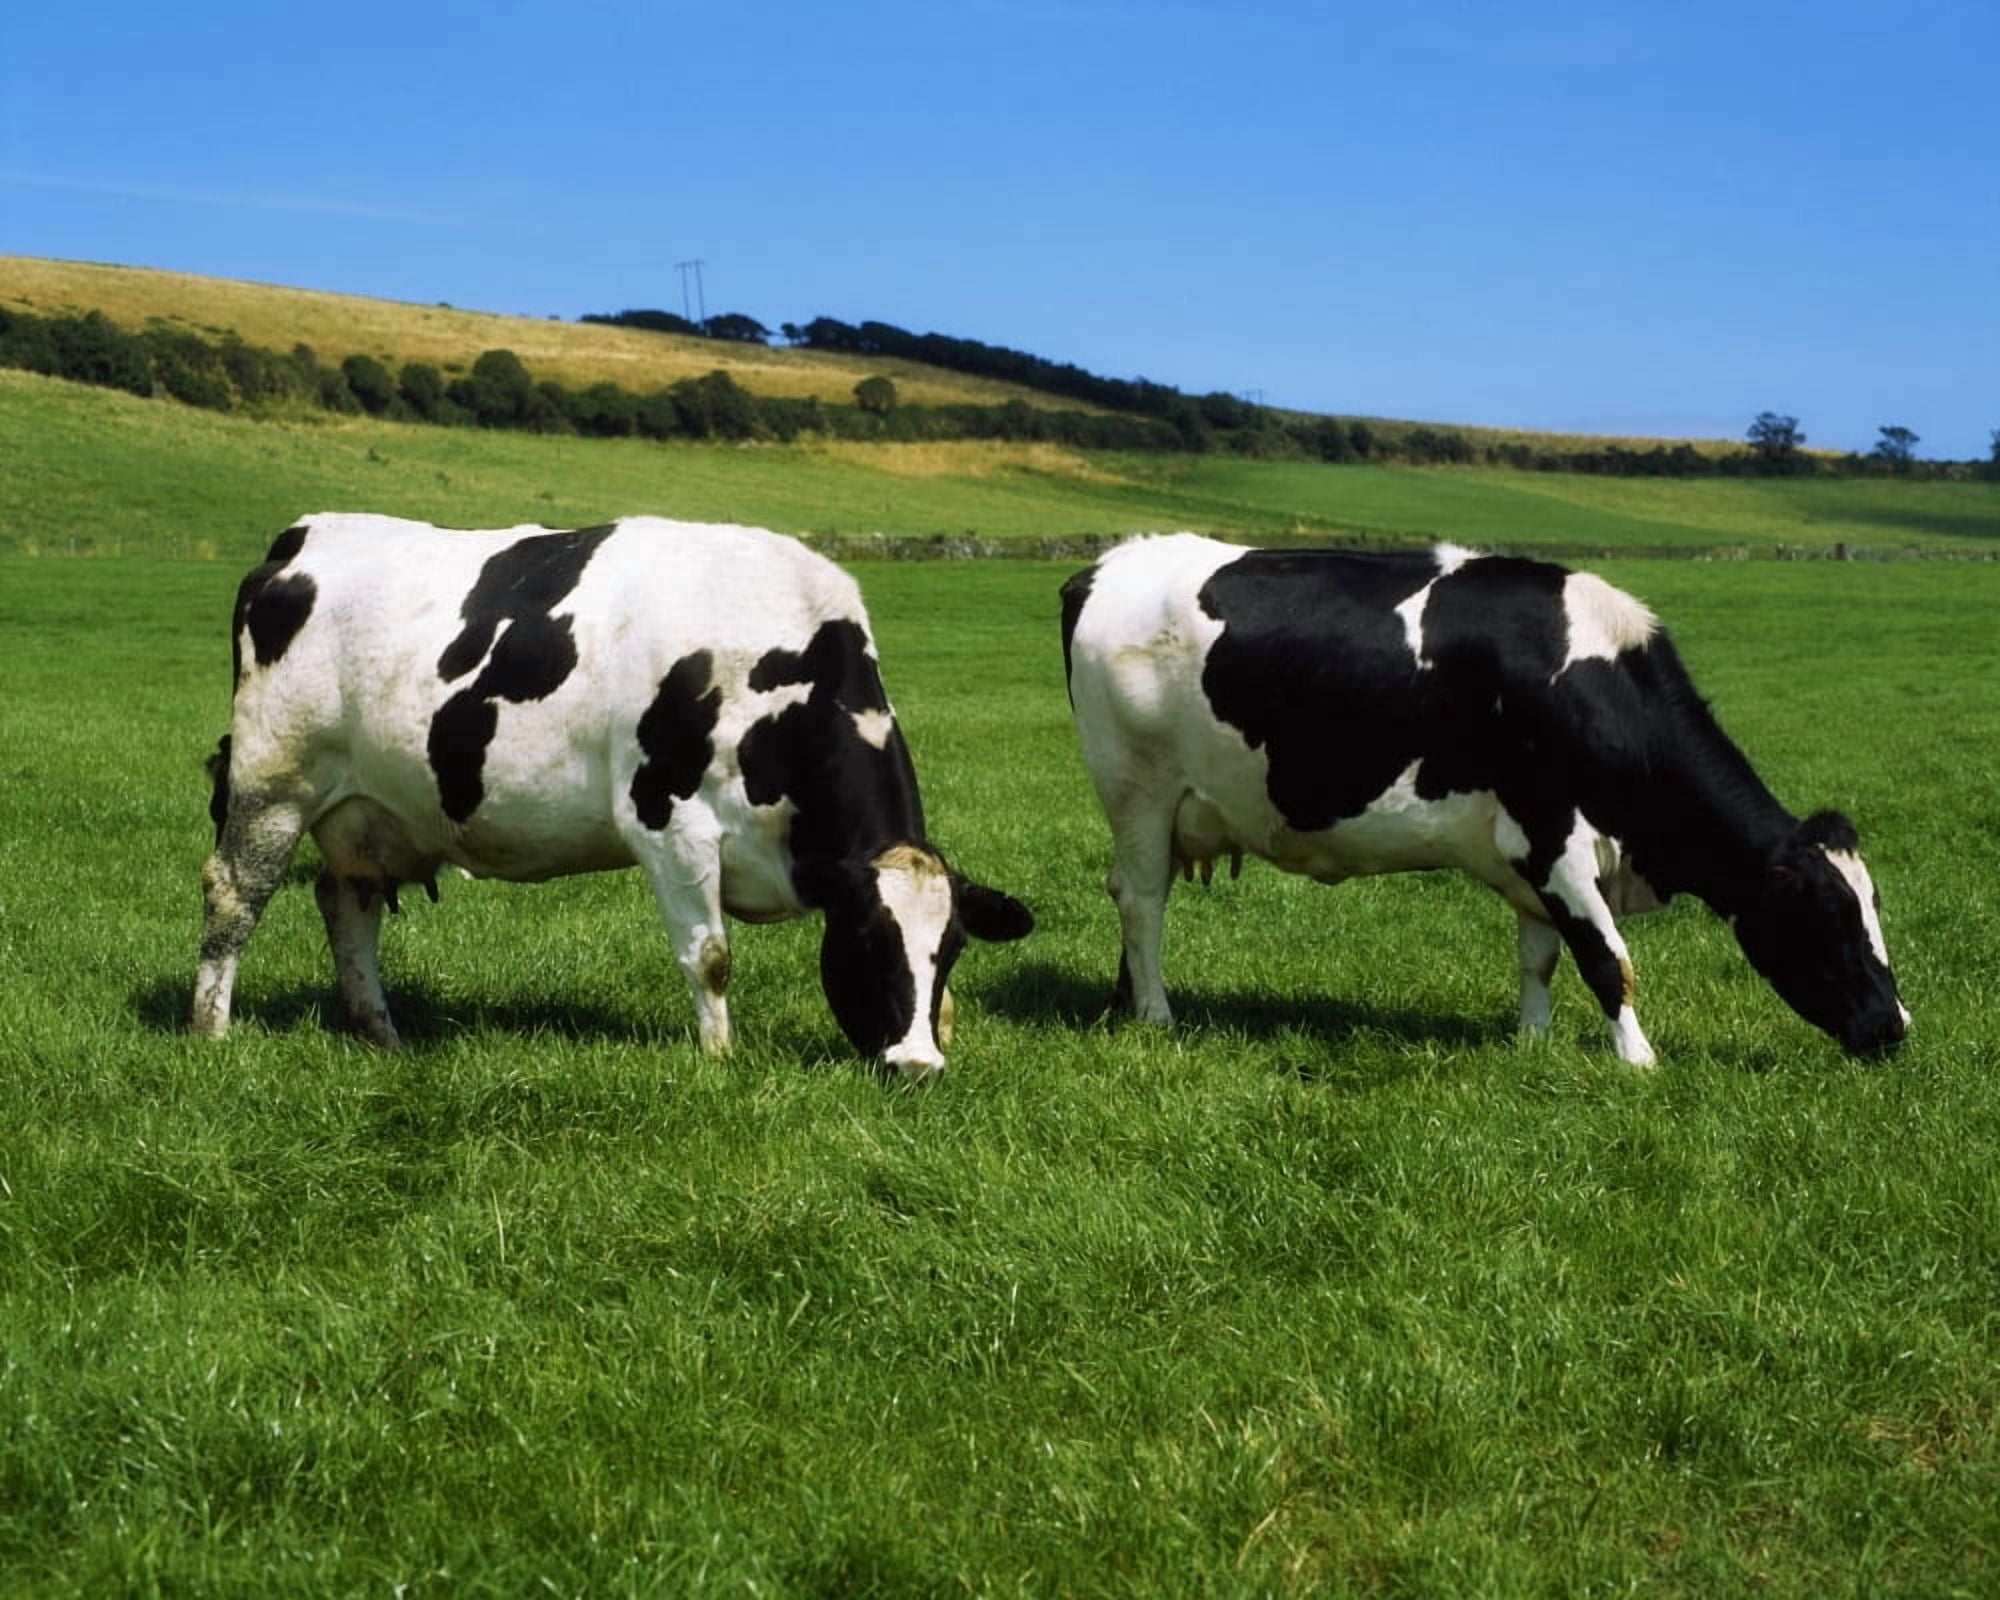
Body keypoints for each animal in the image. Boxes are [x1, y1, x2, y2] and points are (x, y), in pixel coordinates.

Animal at [192, 514, 1033, 1078]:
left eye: (953, 949)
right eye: (866, 940)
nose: (916, 1068)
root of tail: (304, 537)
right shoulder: (672, 825)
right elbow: (711, 957)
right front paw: (719, 1060)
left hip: (365, 811)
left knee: (346, 902)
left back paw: (381, 1035)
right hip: (272, 782)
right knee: (233, 895)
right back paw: (211, 1031)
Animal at [1059, 533, 1908, 1064]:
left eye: (1872, 907)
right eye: (1828, 917)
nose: (1894, 1027)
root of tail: (1104, 567)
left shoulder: (1529, 857)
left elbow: (1541, 956)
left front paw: (1532, 1042)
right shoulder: (1553, 837)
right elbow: (1608, 958)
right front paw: (1638, 1059)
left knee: (1133, 902)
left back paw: (1128, 1003)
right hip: (1138, 788)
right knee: (1142, 900)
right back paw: (1158, 1015)